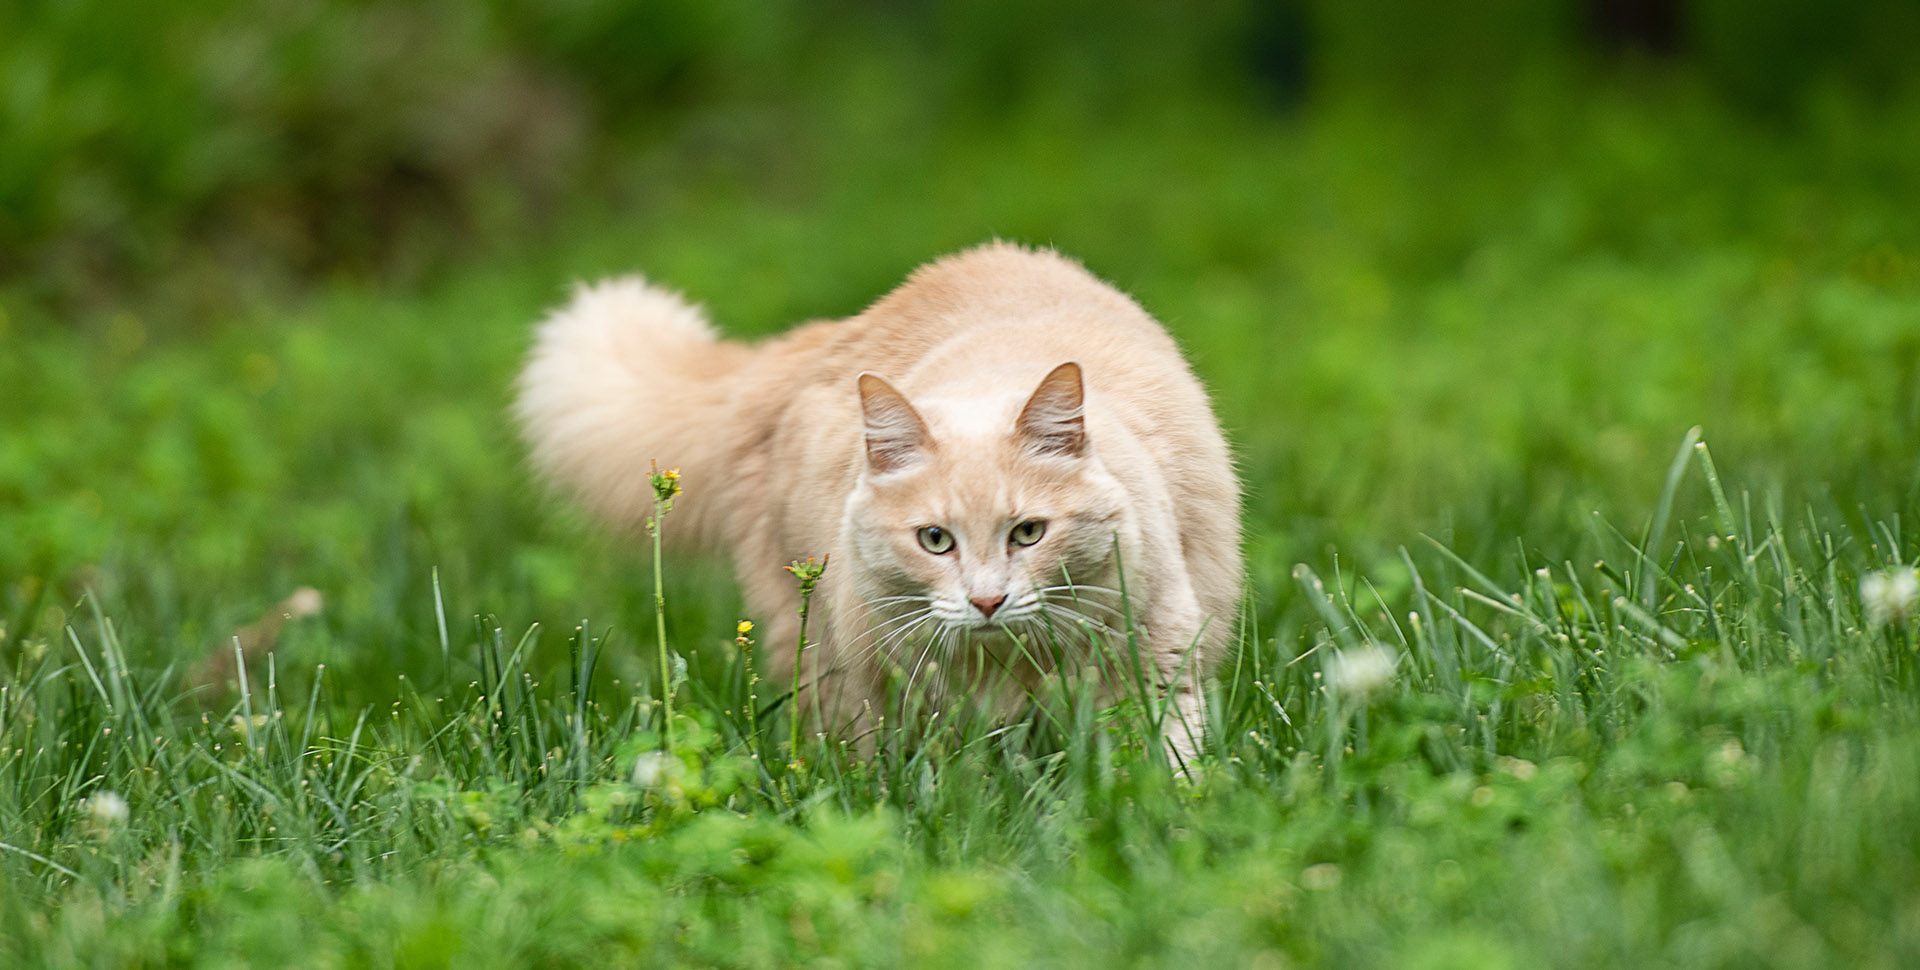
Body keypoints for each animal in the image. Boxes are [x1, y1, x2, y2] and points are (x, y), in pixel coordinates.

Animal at [510, 240, 1236, 756]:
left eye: (1028, 533)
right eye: (935, 540)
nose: (988, 602)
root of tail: (810, 341)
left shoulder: (1163, 661)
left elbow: (1167, 766)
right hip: (811, 648)